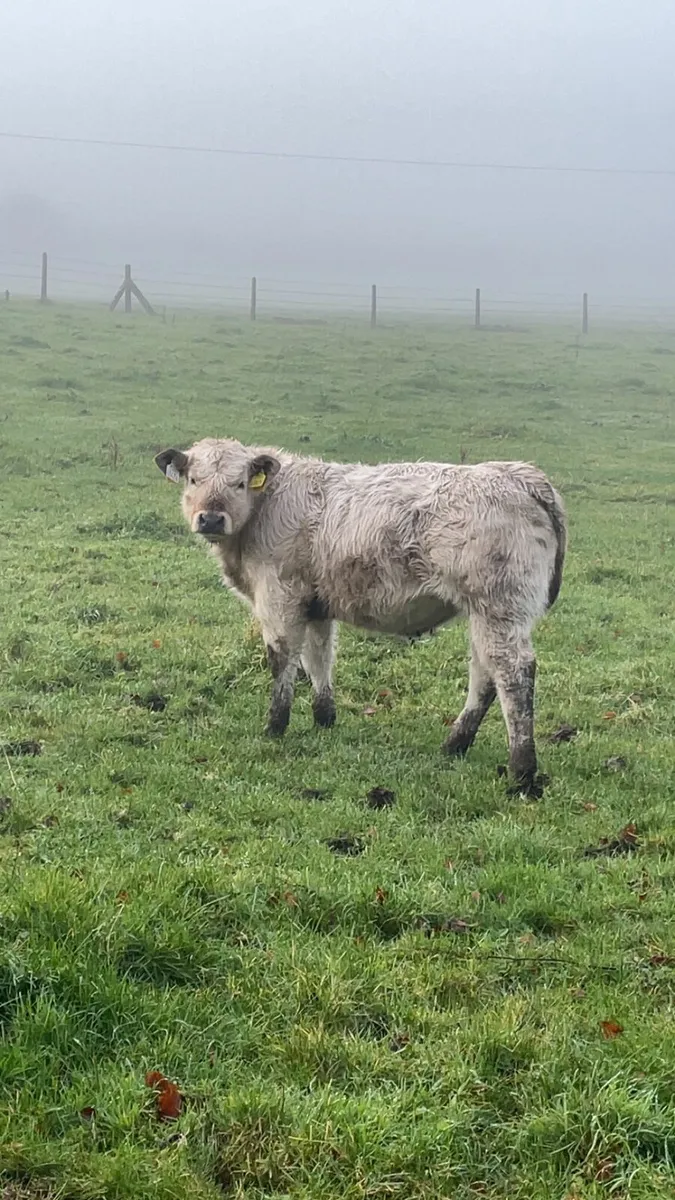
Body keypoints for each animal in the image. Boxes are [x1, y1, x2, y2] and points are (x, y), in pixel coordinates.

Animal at [155, 438, 566, 796]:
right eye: (194, 480)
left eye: (239, 483)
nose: (210, 519)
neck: (266, 507)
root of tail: (517, 474)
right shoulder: (316, 605)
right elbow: (319, 658)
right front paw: (324, 718)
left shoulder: (279, 597)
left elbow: (283, 659)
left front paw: (275, 725)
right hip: (485, 612)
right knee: (484, 673)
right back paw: (455, 744)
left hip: (499, 606)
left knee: (513, 673)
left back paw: (522, 771)